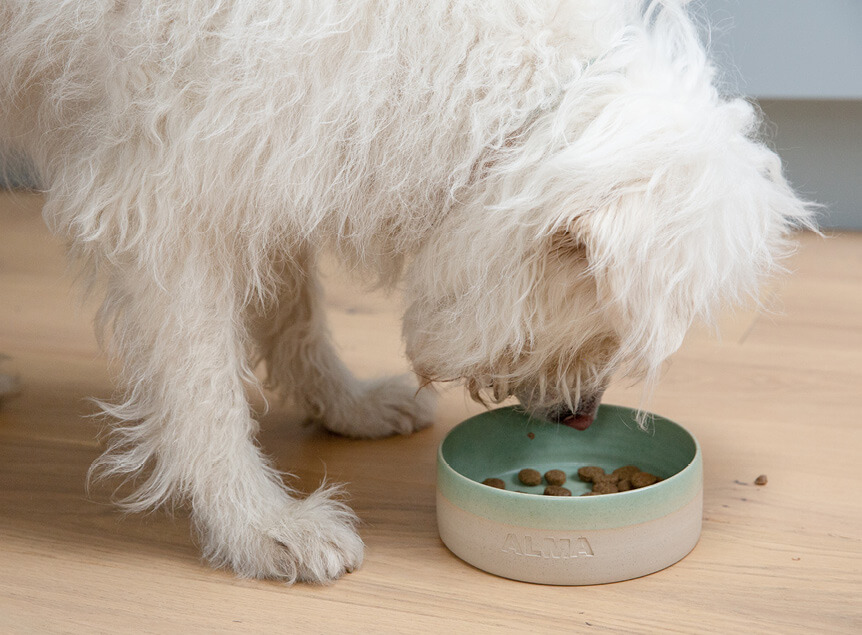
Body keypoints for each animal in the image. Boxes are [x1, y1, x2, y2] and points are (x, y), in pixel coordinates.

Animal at [0, 0, 812, 584]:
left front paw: (345, 405)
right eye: (608, 324)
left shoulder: (274, 137)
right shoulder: (165, 191)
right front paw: (261, 527)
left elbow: (295, 311)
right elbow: (204, 394)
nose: (579, 417)